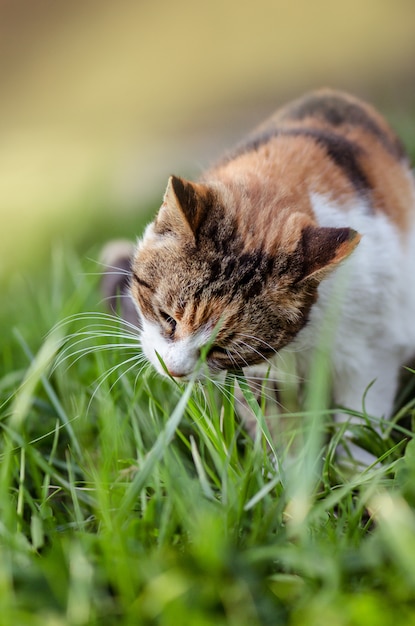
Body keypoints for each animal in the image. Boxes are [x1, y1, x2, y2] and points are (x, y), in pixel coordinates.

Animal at [103, 86, 415, 458]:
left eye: (221, 349)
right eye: (168, 318)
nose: (175, 372)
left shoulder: (374, 348)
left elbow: (360, 417)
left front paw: (359, 467)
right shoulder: (263, 373)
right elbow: (273, 425)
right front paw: (286, 466)